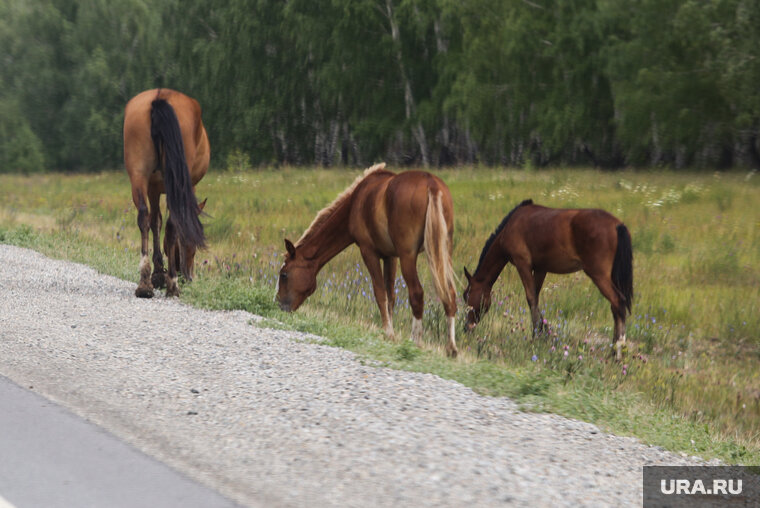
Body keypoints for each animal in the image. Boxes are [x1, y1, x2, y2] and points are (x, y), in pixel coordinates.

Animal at [123, 88, 209, 298]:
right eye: (193, 246)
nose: (190, 277)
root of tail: (160, 97)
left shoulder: (153, 188)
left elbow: (155, 221)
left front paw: (156, 274)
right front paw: (164, 275)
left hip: (138, 175)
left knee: (143, 216)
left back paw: (144, 284)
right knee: (172, 225)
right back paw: (172, 283)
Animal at [276, 163, 460, 358]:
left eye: (284, 274)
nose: (278, 303)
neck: (356, 203)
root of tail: (431, 184)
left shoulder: (368, 252)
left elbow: (379, 293)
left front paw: (388, 332)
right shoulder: (390, 256)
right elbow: (390, 295)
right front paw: (390, 330)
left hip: (408, 257)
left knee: (417, 293)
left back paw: (415, 342)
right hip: (443, 251)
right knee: (449, 294)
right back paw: (451, 348)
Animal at [464, 199, 636, 362]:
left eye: (466, 296)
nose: (466, 328)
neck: (511, 226)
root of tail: (618, 225)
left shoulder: (523, 264)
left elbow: (531, 299)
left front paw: (536, 337)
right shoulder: (541, 269)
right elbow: (536, 298)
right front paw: (543, 333)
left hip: (599, 275)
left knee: (618, 302)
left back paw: (618, 355)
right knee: (615, 308)